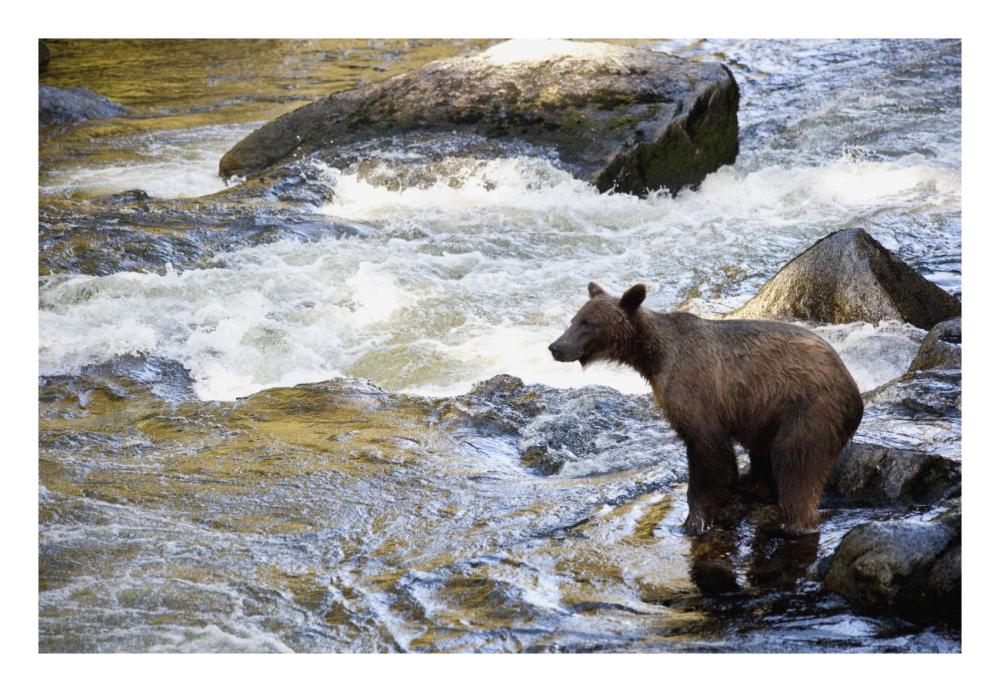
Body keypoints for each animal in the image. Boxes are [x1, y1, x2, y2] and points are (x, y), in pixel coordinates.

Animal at [548, 282, 864, 536]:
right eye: (574, 319)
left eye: (588, 323)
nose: (555, 346)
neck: (653, 358)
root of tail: (854, 390)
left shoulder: (695, 391)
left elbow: (709, 454)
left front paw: (694, 520)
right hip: (767, 412)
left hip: (809, 408)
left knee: (796, 465)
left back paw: (797, 523)